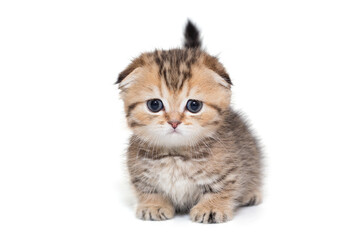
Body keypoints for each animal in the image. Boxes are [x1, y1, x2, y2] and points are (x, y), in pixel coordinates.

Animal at [116, 20, 262, 223]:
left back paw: (251, 193)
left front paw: (211, 207)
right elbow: (148, 189)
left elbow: (222, 188)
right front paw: (153, 205)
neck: (176, 156)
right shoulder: (139, 174)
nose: (174, 122)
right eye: (154, 104)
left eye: (194, 105)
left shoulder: (230, 170)